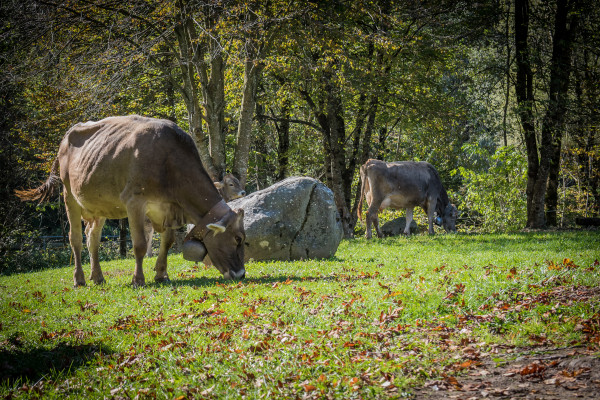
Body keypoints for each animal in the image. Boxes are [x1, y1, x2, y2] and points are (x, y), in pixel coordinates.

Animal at [16, 115, 246, 288]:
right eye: (238, 239)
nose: (241, 274)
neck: (169, 161)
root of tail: (69, 132)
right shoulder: (135, 201)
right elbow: (140, 244)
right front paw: (138, 279)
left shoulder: (168, 208)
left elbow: (168, 241)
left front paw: (161, 274)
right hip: (69, 195)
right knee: (76, 239)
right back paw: (79, 279)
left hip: (99, 205)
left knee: (93, 238)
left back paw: (97, 277)